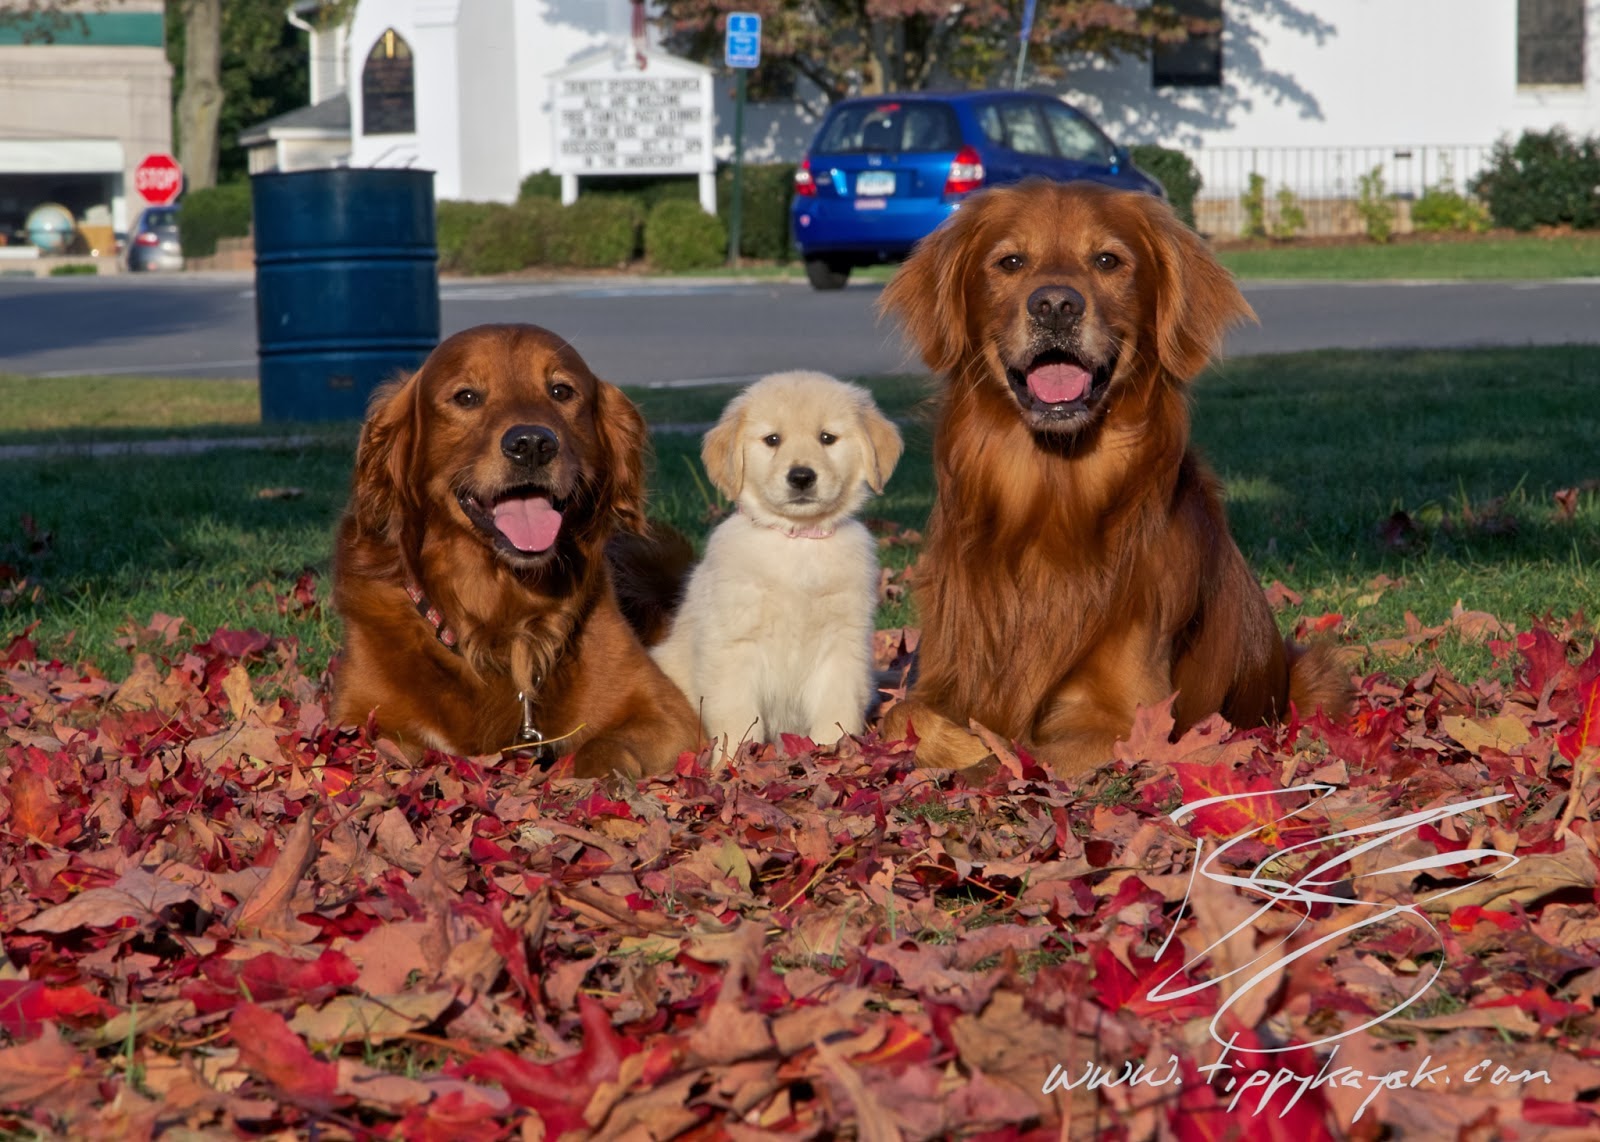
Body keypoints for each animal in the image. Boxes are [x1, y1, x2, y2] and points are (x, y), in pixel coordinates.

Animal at [649, 369, 902, 751]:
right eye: (772, 440)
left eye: (827, 438)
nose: (801, 477)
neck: (797, 541)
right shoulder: (734, 646)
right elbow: (738, 720)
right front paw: (732, 761)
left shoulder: (843, 645)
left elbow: (836, 711)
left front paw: (832, 754)